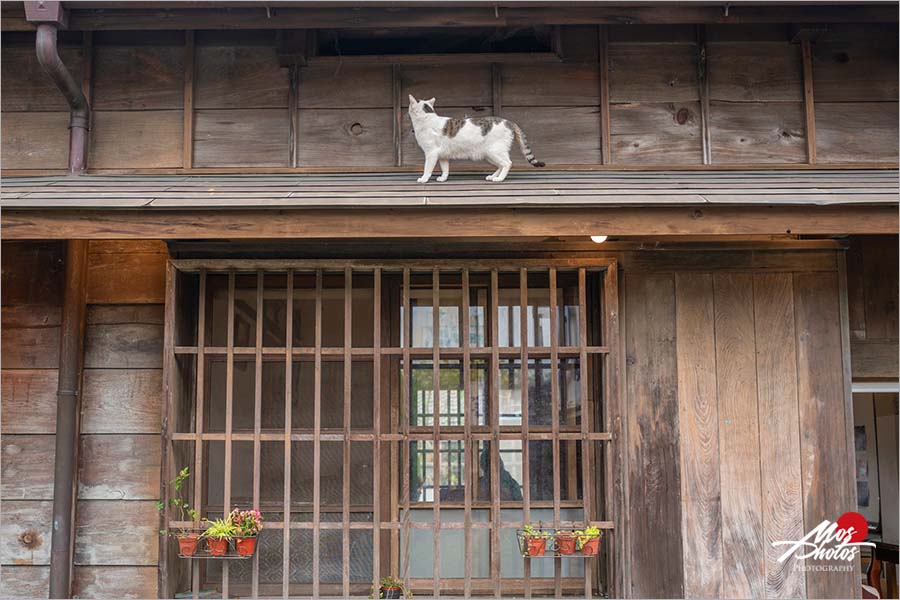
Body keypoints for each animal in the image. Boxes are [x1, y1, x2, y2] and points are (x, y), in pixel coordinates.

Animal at [412, 93, 544, 183]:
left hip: (495, 151)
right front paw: (443, 178)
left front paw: (423, 179)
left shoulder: (431, 153)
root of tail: (509, 121)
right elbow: (445, 168)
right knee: (500, 165)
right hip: (489, 154)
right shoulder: (443, 155)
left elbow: (427, 168)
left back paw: (499, 179)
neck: (427, 118)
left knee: (507, 163)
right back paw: (493, 176)